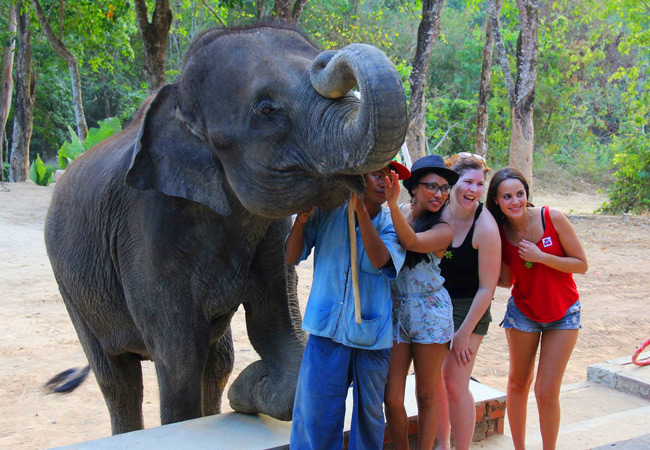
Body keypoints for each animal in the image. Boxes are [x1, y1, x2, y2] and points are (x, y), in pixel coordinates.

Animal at [45, 22, 408, 436]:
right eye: (266, 110)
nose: (326, 58)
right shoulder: (145, 233)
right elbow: (179, 357)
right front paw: (229, 397)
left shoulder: (271, 237)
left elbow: (278, 330)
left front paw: (246, 388)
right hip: (71, 287)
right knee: (119, 380)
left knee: (219, 358)